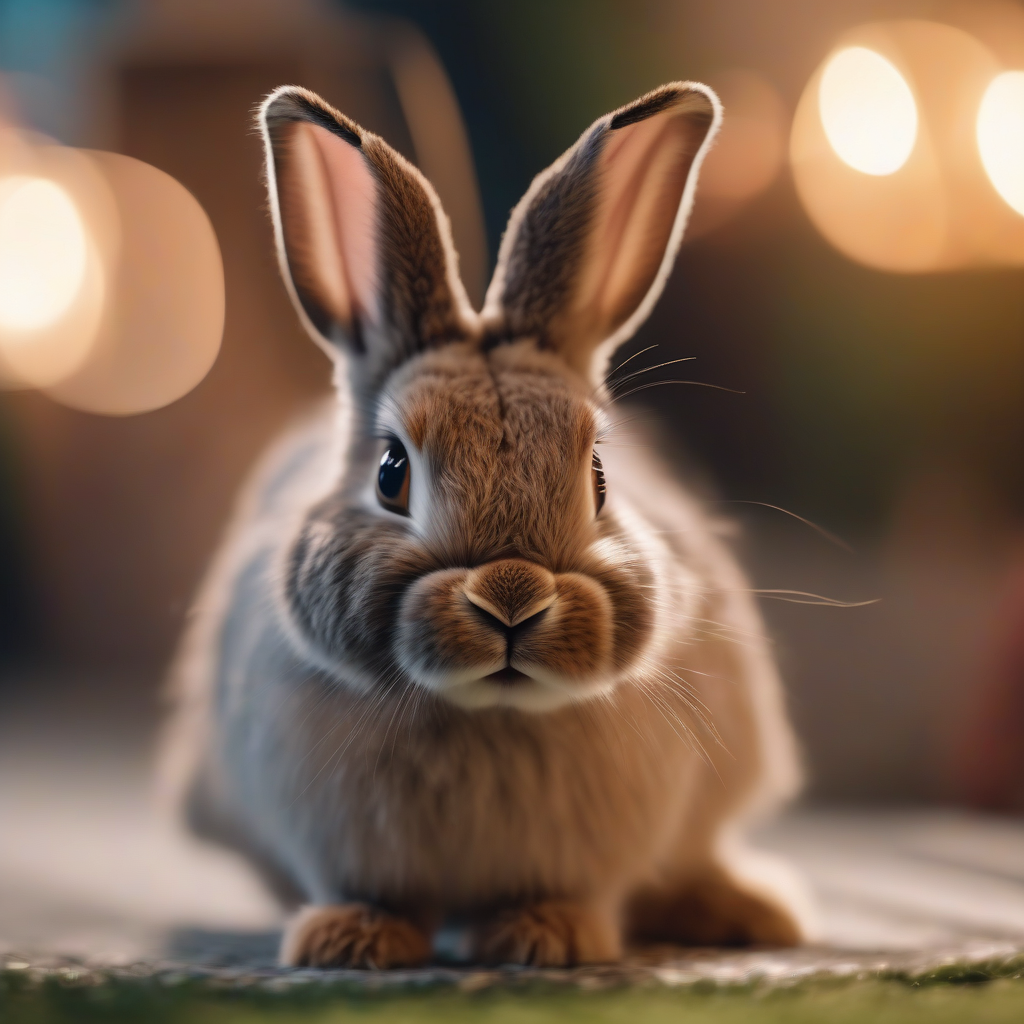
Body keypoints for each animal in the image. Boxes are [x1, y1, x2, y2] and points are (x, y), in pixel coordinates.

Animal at [163, 80, 810, 970]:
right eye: (391, 474)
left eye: (599, 478)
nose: (511, 600)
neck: (488, 716)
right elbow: (368, 891)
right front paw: (351, 942)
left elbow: (563, 891)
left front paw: (548, 938)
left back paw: (748, 911)